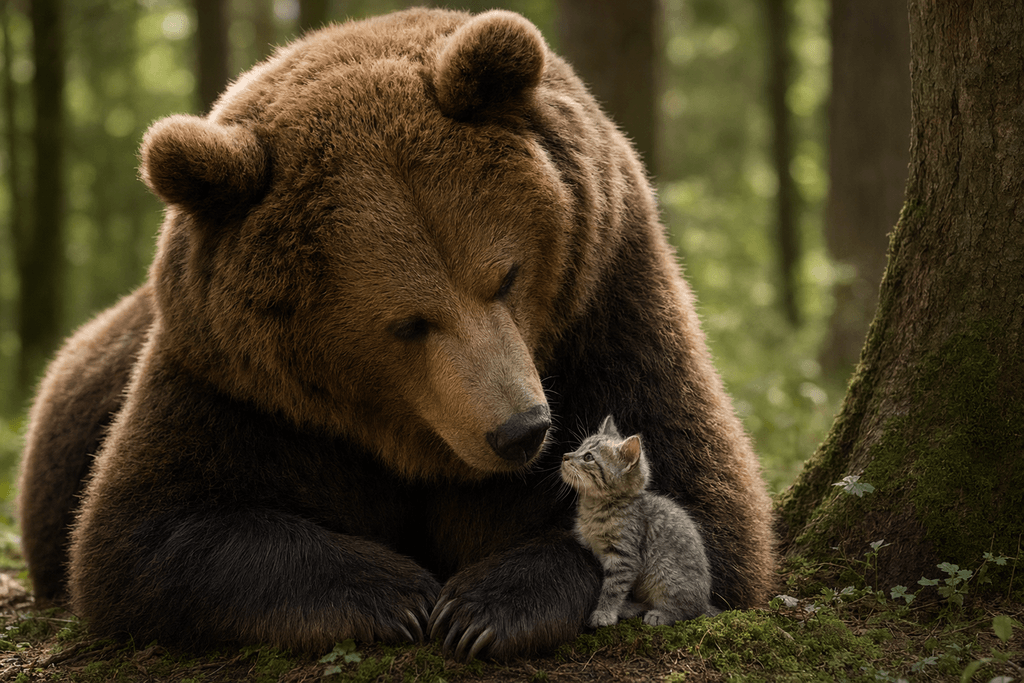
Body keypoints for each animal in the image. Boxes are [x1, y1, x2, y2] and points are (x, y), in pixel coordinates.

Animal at [17, 8, 775, 660]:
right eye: (409, 322)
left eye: (505, 275)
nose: (521, 429)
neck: (411, 437)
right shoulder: (240, 389)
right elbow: (148, 532)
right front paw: (400, 593)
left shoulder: (606, 304)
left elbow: (702, 496)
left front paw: (483, 607)